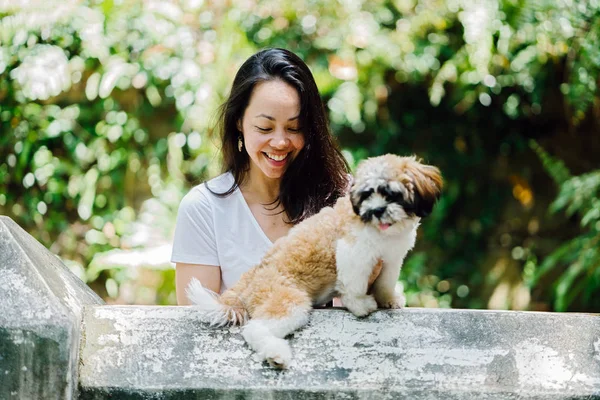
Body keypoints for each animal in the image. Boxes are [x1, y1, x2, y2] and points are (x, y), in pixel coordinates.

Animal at [185, 154, 442, 368]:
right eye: (367, 194)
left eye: (391, 194)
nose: (377, 210)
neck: (383, 231)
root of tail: (248, 280)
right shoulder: (353, 251)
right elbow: (354, 285)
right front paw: (361, 305)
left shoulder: (390, 258)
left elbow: (386, 283)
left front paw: (388, 300)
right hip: (289, 300)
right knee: (255, 329)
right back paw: (276, 354)